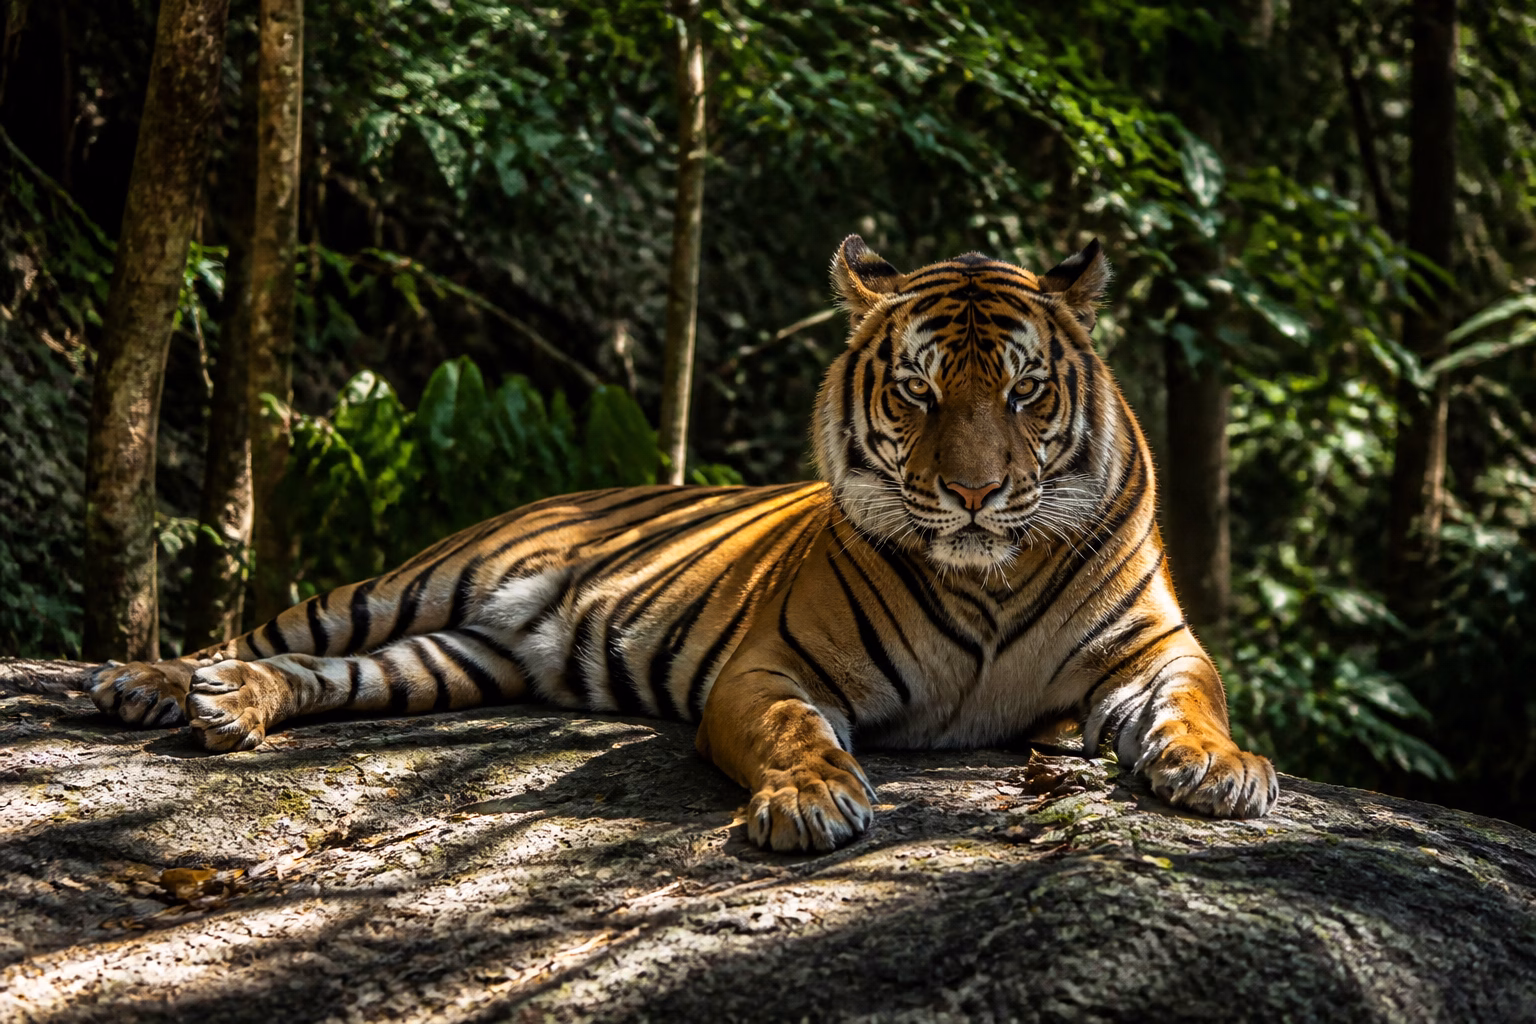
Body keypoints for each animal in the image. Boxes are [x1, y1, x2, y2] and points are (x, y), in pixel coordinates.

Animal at [91, 235, 1278, 852]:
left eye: (1027, 394)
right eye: (918, 391)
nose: (976, 493)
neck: (989, 576)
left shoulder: (1154, 647)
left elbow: (1198, 699)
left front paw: (1221, 771)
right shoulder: (775, 668)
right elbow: (797, 732)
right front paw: (812, 800)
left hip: (442, 661)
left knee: (325, 674)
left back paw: (232, 708)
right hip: (409, 583)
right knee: (261, 630)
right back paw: (148, 684)